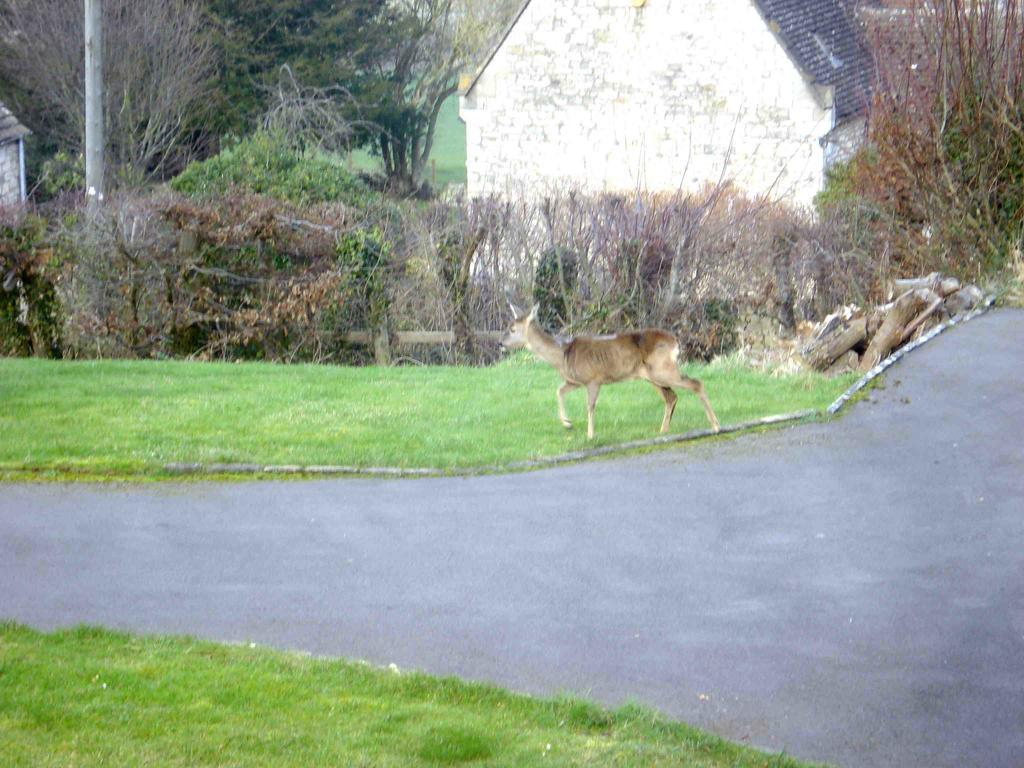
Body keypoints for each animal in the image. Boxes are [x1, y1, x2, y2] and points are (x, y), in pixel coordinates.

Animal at [501, 303, 720, 442]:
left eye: (512, 329)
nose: (501, 343)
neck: (562, 355)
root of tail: (675, 341)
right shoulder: (575, 381)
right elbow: (559, 391)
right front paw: (568, 423)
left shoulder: (593, 379)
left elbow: (590, 406)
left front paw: (590, 435)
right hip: (652, 375)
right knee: (671, 397)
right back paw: (663, 431)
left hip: (663, 370)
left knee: (696, 383)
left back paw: (715, 426)